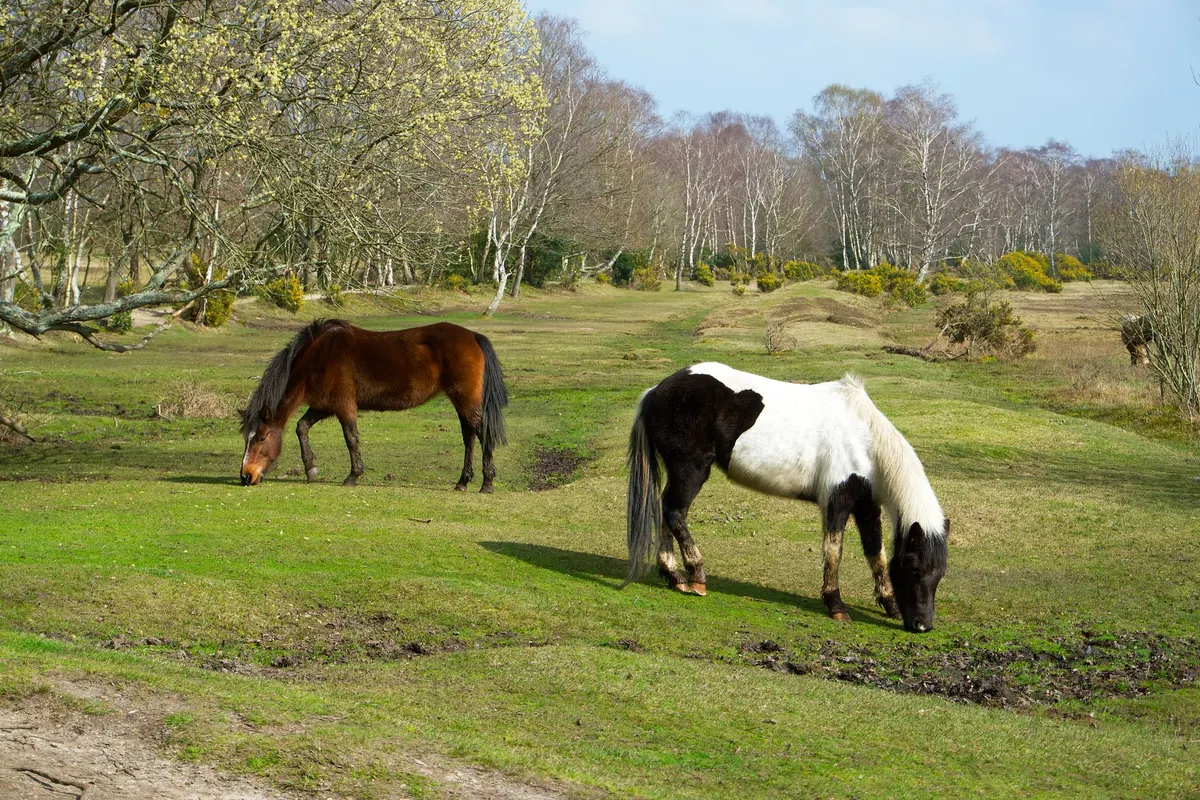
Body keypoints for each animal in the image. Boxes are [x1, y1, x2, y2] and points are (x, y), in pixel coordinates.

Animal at [240, 319, 508, 491]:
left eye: (261, 438)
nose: (245, 476)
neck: (319, 356)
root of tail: (473, 336)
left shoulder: (344, 406)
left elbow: (351, 438)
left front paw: (353, 476)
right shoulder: (324, 406)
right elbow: (301, 427)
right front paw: (311, 469)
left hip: (465, 399)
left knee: (481, 434)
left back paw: (487, 483)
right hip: (462, 402)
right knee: (469, 437)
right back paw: (463, 482)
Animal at [625, 363, 948, 634]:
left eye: (940, 575)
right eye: (914, 568)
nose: (922, 626)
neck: (865, 439)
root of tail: (655, 392)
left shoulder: (867, 507)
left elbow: (876, 554)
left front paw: (889, 603)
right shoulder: (837, 501)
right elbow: (834, 551)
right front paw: (836, 605)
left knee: (667, 511)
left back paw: (675, 577)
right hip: (690, 470)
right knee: (675, 511)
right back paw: (696, 575)